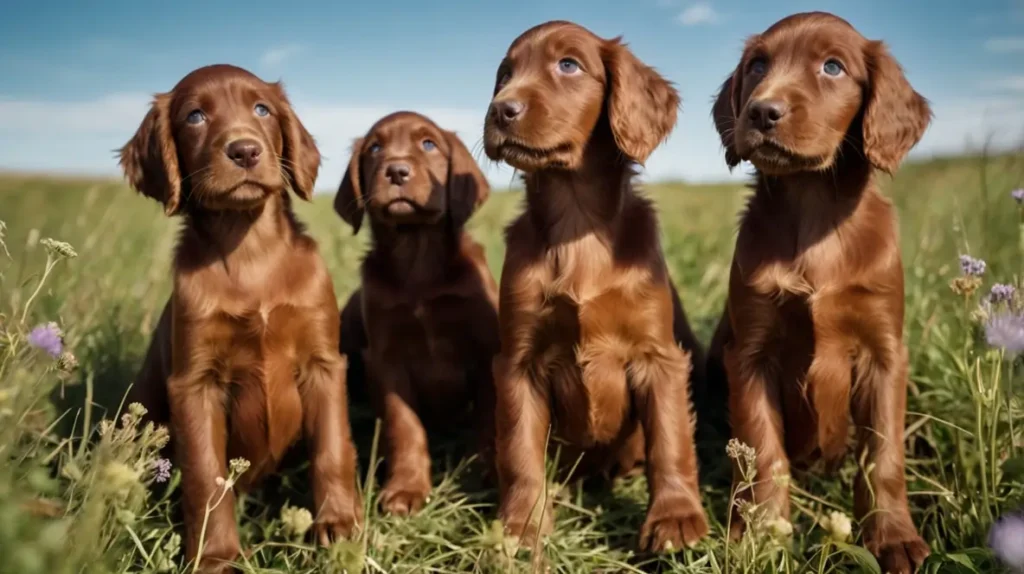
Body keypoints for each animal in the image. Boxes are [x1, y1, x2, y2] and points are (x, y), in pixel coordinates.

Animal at [121, 64, 362, 568]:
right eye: (194, 116)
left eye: (262, 109)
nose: (245, 150)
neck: (251, 249)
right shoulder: (194, 384)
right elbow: (206, 477)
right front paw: (215, 557)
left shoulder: (324, 364)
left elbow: (332, 450)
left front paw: (338, 527)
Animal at [333, 111, 497, 515]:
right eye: (375, 148)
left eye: (428, 144)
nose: (396, 170)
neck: (417, 259)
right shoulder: (386, 358)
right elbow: (403, 424)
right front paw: (406, 488)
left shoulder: (487, 349)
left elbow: (489, 418)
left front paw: (483, 472)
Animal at [481, 21, 708, 552]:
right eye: (505, 74)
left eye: (569, 65)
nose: (500, 109)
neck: (578, 223)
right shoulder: (518, 362)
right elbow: (519, 449)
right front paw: (523, 525)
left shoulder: (658, 357)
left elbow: (671, 440)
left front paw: (676, 519)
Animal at [708, 10, 933, 572]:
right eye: (757, 65)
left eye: (833, 67)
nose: (762, 111)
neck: (813, 210)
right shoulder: (751, 353)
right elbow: (765, 452)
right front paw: (763, 538)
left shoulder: (884, 352)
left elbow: (884, 455)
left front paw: (892, 538)